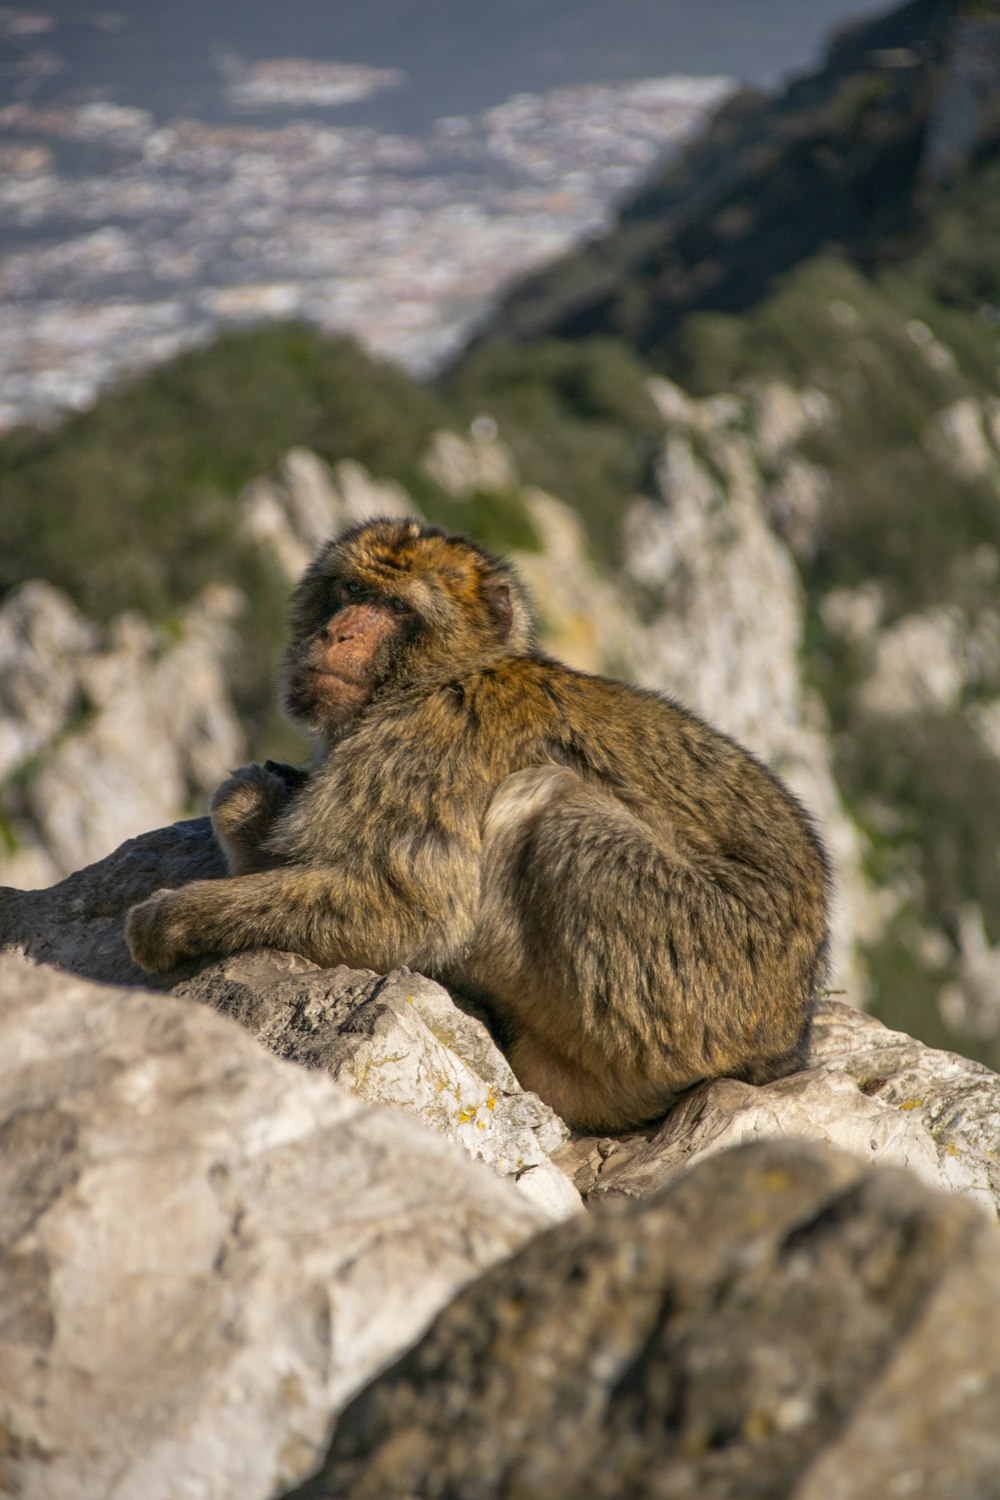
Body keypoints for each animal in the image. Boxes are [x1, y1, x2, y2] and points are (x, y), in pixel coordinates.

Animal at [122, 522, 827, 1128]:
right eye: (350, 593)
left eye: (395, 609)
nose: (338, 634)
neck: (444, 673)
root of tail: (783, 1037)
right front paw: (253, 806)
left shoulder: (429, 741)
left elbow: (409, 910)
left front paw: (171, 918)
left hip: (686, 986)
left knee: (548, 805)